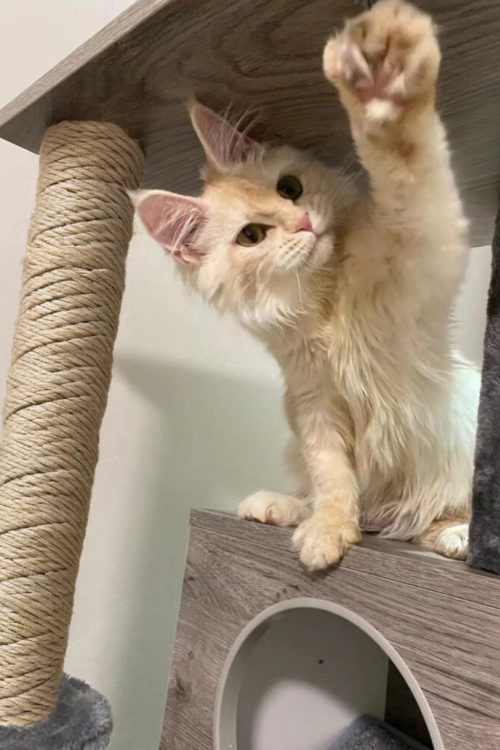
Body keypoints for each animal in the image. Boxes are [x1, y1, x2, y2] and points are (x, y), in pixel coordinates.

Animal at [133, 1, 480, 568]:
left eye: (290, 188)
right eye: (252, 236)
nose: (303, 224)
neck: (324, 305)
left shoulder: (420, 246)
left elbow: (404, 160)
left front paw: (382, 84)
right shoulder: (313, 405)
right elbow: (333, 479)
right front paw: (328, 533)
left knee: (441, 516)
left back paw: (460, 536)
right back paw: (281, 506)